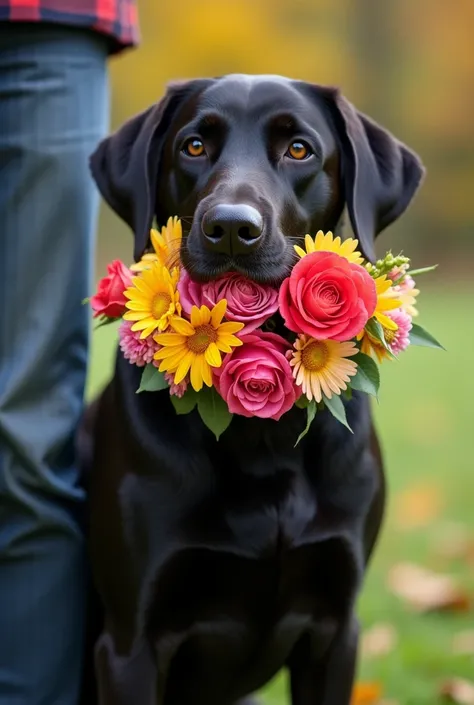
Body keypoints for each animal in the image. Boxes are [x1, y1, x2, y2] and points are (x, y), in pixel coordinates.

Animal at [79, 74, 424, 704]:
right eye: (193, 146)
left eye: (299, 149)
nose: (232, 230)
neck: (263, 435)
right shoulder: (128, 644)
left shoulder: (337, 631)